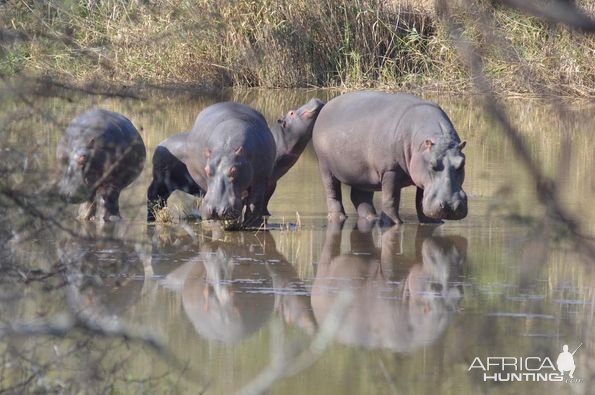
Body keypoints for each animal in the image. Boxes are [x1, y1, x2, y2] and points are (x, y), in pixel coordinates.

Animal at [148, 98, 326, 224]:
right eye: (291, 113)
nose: (315, 99)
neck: (281, 139)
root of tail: (160, 143)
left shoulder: (269, 182)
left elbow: (264, 201)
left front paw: (264, 215)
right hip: (160, 183)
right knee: (153, 196)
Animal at [312, 91, 470, 224]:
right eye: (432, 164)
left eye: (462, 163)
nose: (450, 206)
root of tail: (327, 105)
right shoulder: (390, 170)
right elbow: (391, 198)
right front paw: (394, 223)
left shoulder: (421, 174)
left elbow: (420, 199)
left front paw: (432, 222)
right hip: (325, 166)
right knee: (332, 192)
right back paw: (338, 217)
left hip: (362, 173)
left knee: (359, 197)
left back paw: (372, 218)